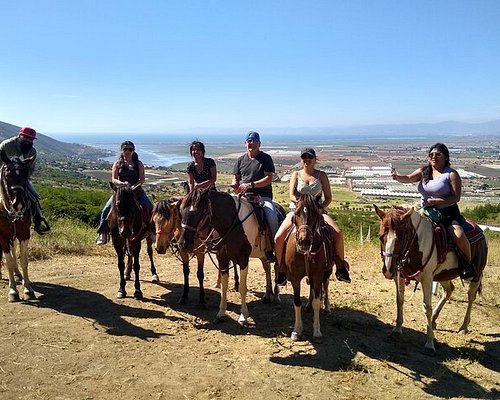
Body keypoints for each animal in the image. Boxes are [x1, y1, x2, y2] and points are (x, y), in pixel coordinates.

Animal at [179, 188, 286, 324]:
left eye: (197, 212)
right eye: (181, 211)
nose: (183, 244)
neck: (233, 224)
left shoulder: (243, 260)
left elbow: (242, 288)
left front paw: (243, 315)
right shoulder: (222, 259)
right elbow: (224, 287)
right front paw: (221, 314)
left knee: (276, 269)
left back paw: (276, 295)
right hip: (263, 254)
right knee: (267, 269)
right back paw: (267, 296)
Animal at [284, 194, 334, 340]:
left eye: (315, 214)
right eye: (297, 213)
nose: (304, 242)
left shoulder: (317, 275)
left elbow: (317, 302)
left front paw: (317, 330)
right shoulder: (294, 277)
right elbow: (297, 302)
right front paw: (296, 330)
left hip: (327, 271)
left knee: (326, 285)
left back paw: (327, 308)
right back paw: (307, 306)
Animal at [376, 205, 488, 354]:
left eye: (401, 237)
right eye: (380, 236)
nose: (388, 270)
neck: (416, 243)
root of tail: (481, 231)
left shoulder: (427, 279)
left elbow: (426, 307)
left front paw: (429, 343)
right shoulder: (399, 276)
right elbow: (399, 300)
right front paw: (397, 329)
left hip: (476, 275)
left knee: (471, 296)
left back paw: (463, 327)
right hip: (442, 275)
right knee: (449, 290)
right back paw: (434, 319)